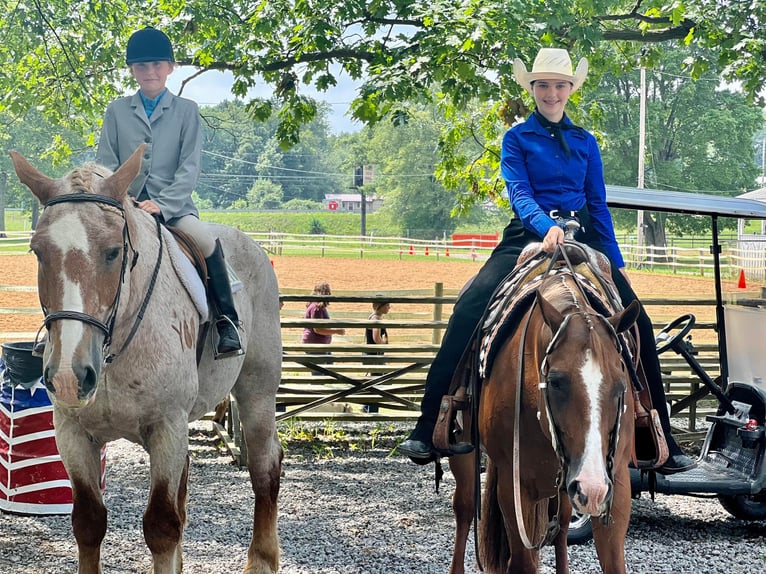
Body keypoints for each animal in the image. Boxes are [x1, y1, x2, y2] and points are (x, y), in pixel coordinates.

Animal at [10, 147, 282, 574]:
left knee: (265, 466)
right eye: (38, 251)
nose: (71, 377)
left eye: (114, 251)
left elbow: (161, 526)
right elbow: (88, 522)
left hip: (257, 393)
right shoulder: (72, 432)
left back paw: (262, 560)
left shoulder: (166, 428)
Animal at [450, 253, 640, 574]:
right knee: (464, 509)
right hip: (465, 453)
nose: (591, 488)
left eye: (620, 384)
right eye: (555, 381)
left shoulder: (616, 483)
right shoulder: (514, 488)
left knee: (562, 526)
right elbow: (522, 562)